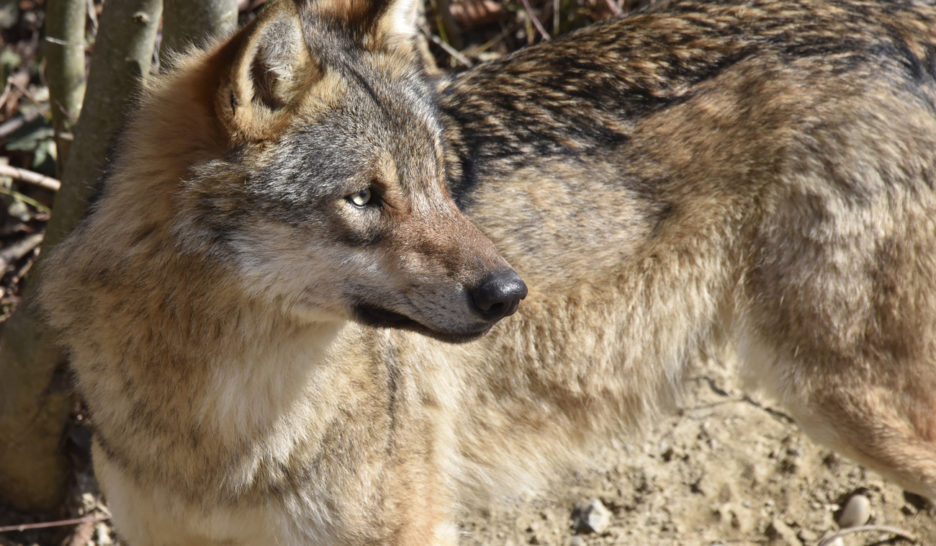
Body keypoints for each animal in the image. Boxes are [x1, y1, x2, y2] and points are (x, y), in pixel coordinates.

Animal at [40, 0, 936, 540]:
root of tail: (893, 21)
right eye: (364, 198)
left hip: (846, 399)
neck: (223, 429)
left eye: (441, 179)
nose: (510, 293)